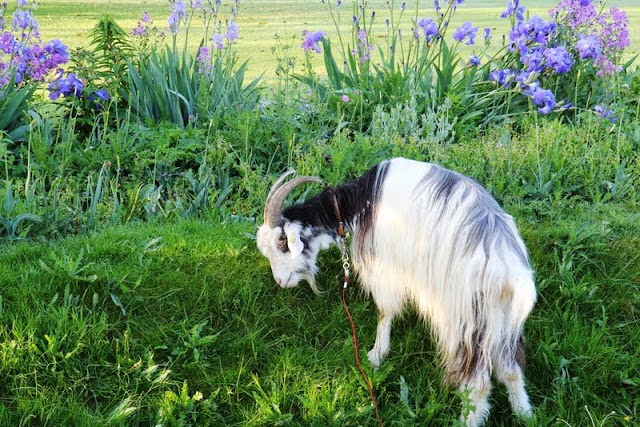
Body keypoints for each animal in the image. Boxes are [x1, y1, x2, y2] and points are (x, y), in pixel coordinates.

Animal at [255, 158, 536, 427]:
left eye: (282, 243)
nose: (280, 281)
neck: (361, 202)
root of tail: (507, 272)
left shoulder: (385, 267)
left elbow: (385, 311)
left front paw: (377, 354)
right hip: (504, 322)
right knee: (511, 369)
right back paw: (525, 415)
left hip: (466, 320)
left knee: (479, 383)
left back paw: (466, 421)